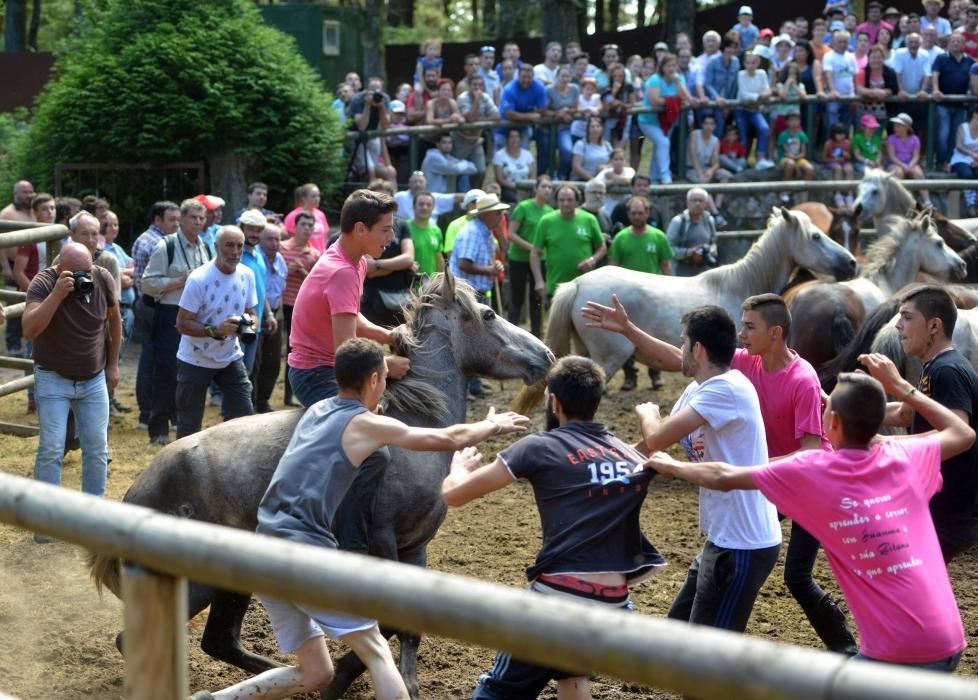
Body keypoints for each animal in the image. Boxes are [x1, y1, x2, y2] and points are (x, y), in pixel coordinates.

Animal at [87, 270, 552, 696]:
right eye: (489, 314)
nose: (546, 354)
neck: (416, 423)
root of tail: (139, 490)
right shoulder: (381, 539)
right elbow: (388, 622)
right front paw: (344, 680)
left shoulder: (414, 548)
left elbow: (410, 628)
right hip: (197, 584)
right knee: (139, 640)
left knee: (220, 641)